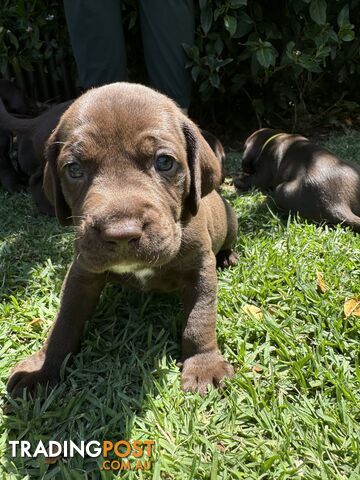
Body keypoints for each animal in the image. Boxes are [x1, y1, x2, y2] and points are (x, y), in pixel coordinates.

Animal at [6, 82, 239, 398]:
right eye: (74, 168)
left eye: (164, 162)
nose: (122, 233)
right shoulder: (82, 272)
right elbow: (64, 321)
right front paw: (42, 366)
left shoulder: (200, 269)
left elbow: (200, 319)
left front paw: (204, 365)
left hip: (231, 222)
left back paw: (227, 256)